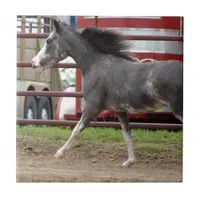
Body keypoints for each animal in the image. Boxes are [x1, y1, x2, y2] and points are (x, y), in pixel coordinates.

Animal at [31, 20, 183, 167]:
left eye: (48, 40)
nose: (33, 63)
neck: (96, 65)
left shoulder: (92, 107)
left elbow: (76, 129)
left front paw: (59, 152)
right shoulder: (120, 112)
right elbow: (127, 135)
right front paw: (130, 161)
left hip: (179, 110)